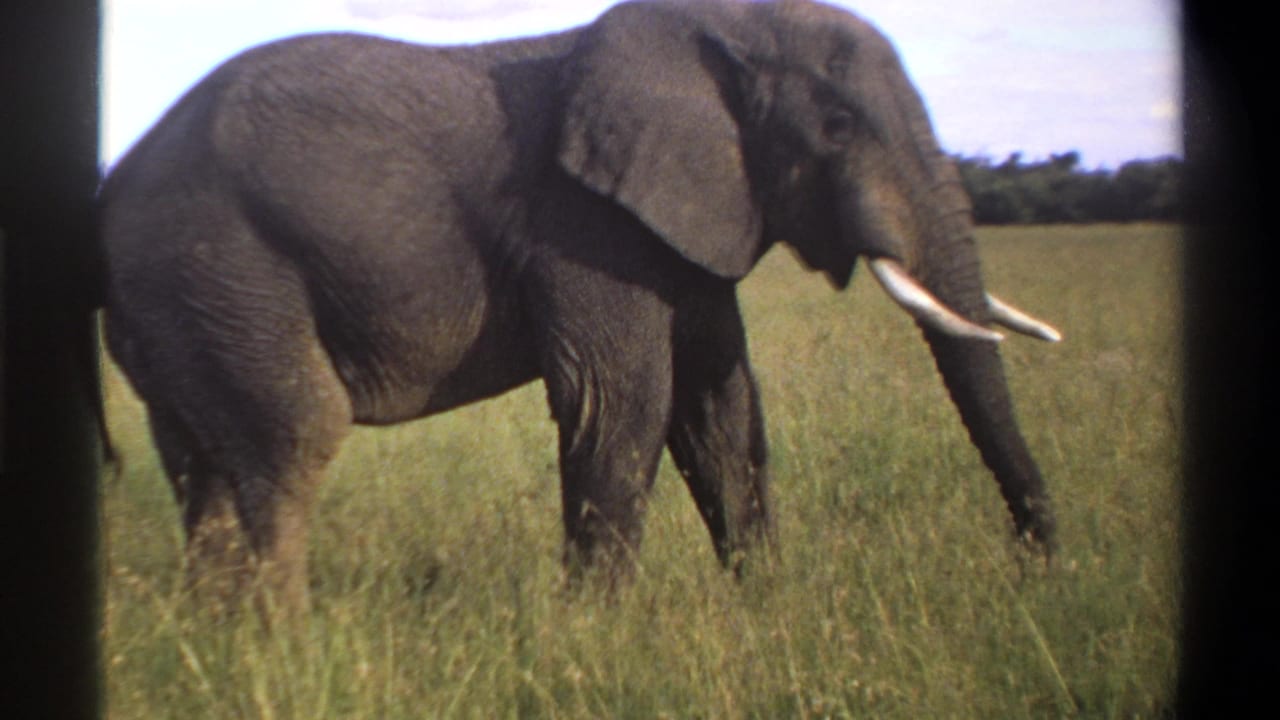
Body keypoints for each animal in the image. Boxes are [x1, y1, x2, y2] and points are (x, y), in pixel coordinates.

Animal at [97, 0, 1061, 613]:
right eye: (836, 127)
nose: (1037, 572)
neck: (719, 23)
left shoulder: (683, 222)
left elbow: (721, 409)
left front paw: (764, 606)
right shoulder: (581, 225)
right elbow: (622, 401)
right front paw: (599, 635)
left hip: (181, 305)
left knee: (202, 465)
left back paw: (222, 641)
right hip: (219, 267)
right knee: (293, 435)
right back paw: (288, 647)